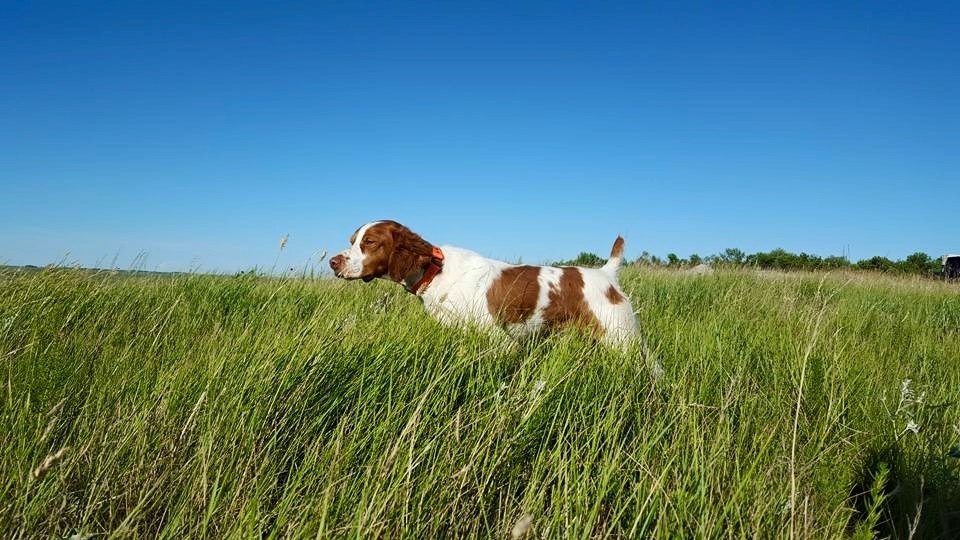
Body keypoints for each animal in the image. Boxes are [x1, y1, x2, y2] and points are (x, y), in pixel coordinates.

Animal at [330, 220, 636, 350]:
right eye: (352, 241)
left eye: (369, 242)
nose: (333, 262)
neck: (436, 271)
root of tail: (607, 274)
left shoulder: (500, 340)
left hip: (623, 339)